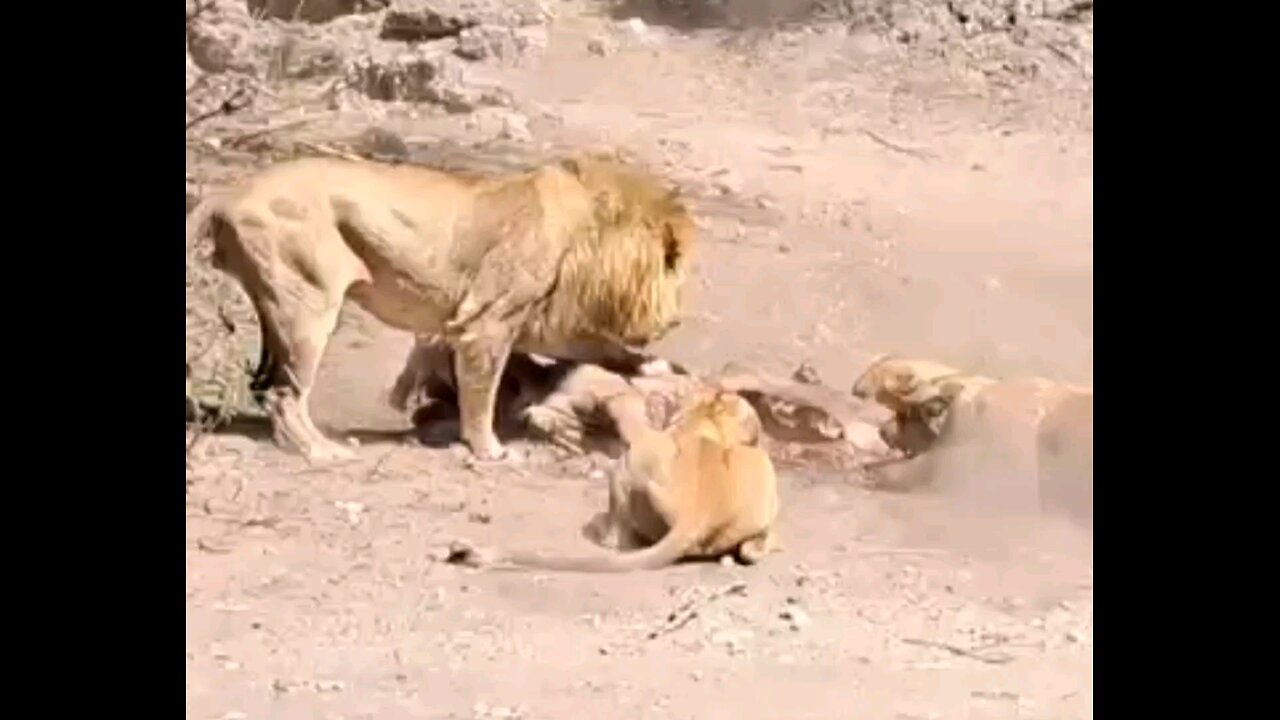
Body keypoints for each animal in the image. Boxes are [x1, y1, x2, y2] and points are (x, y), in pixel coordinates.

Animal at [185, 154, 696, 461]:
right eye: (673, 260)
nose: (676, 318)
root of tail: (225, 193)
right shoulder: (487, 322)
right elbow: (482, 393)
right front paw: (489, 450)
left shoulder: (548, 322)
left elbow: (609, 349)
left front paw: (661, 367)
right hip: (308, 304)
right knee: (284, 394)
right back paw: (323, 451)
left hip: (281, 308)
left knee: (264, 385)